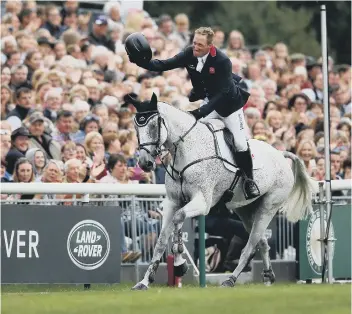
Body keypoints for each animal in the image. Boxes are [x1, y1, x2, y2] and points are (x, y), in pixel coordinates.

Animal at [129, 93, 314, 290]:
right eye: (136, 127)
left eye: (153, 125)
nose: (145, 163)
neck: (188, 150)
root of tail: (281, 154)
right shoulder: (172, 202)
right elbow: (161, 240)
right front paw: (144, 281)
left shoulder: (202, 202)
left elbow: (179, 219)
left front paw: (179, 263)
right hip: (245, 210)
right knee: (262, 241)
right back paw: (268, 276)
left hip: (268, 207)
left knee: (251, 245)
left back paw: (231, 279)